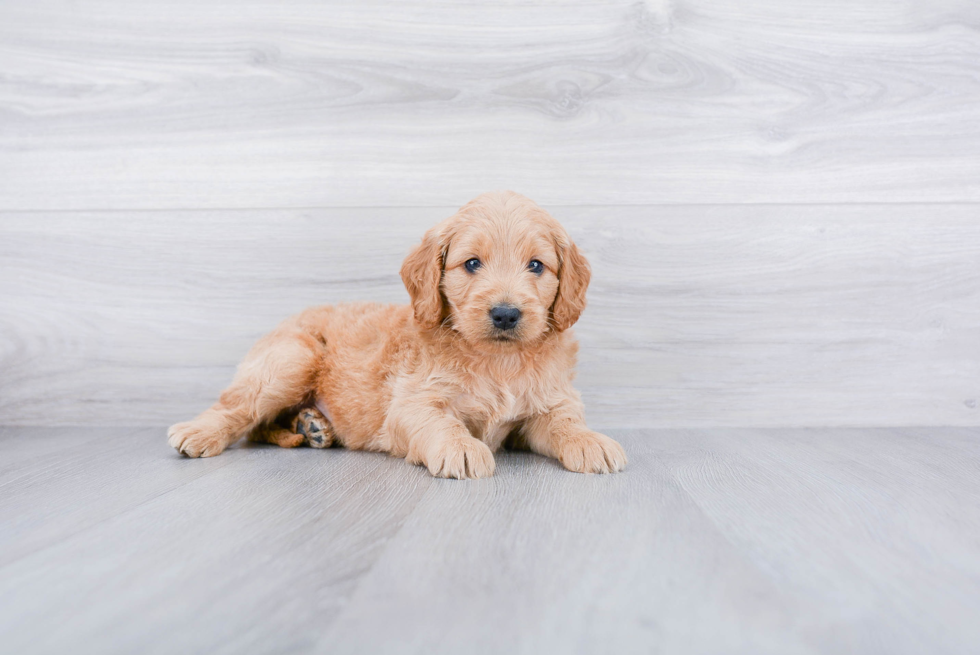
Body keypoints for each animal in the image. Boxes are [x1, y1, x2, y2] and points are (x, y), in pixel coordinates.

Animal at [167, 192, 628, 480]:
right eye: (472, 263)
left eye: (536, 265)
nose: (505, 314)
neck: (497, 360)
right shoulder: (413, 402)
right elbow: (441, 422)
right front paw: (461, 448)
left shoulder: (545, 405)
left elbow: (563, 421)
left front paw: (590, 440)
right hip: (291, 358)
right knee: (239, 410)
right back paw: (200, 432)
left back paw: (311, 426)